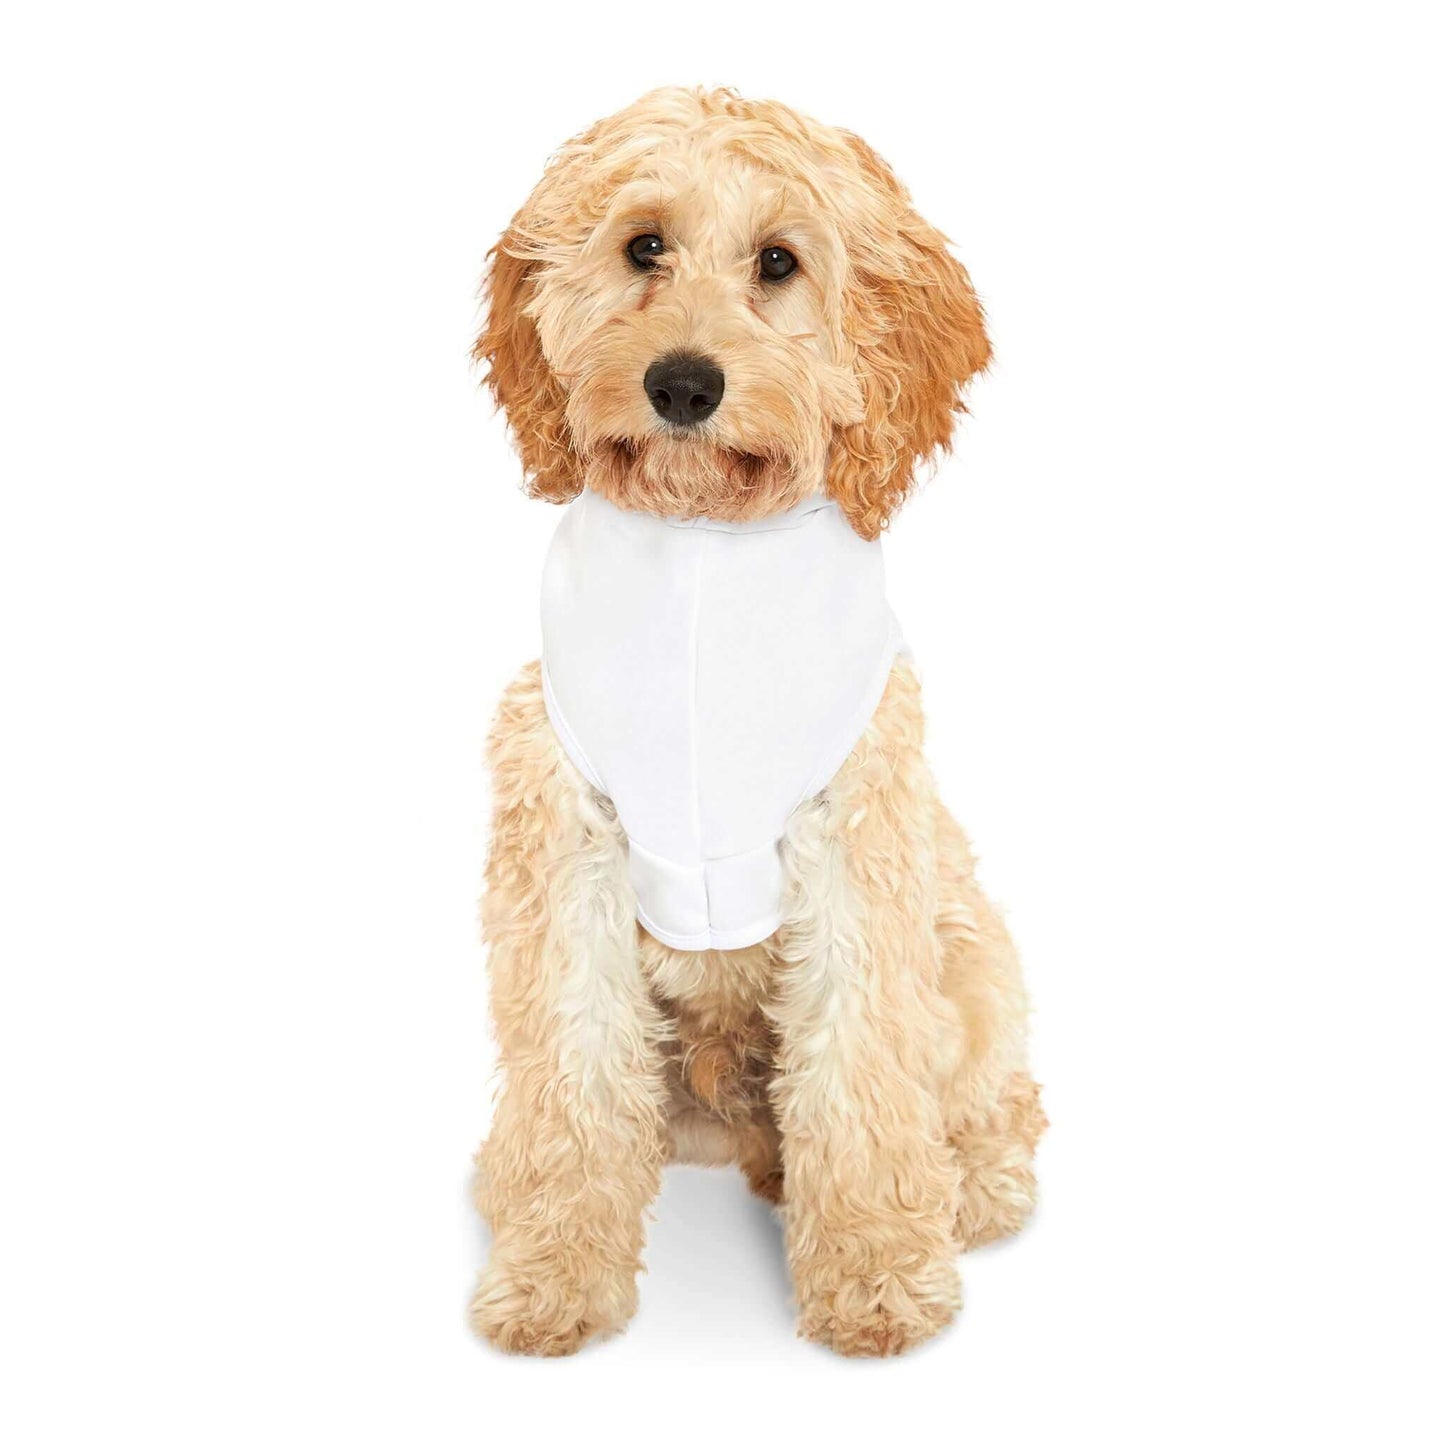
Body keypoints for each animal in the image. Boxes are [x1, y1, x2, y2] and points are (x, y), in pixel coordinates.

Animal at [468, 87, 1046, 1352]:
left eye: (778, 261)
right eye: (644, 245)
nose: (684, 384)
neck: (700, 550)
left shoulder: (853, 847)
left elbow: (860, 1075)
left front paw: (877, 1274)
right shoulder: (566, 843)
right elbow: (572, 1075)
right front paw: (551, 1272)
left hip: (962, 933)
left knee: (989, 1089)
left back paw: (972, 1182)